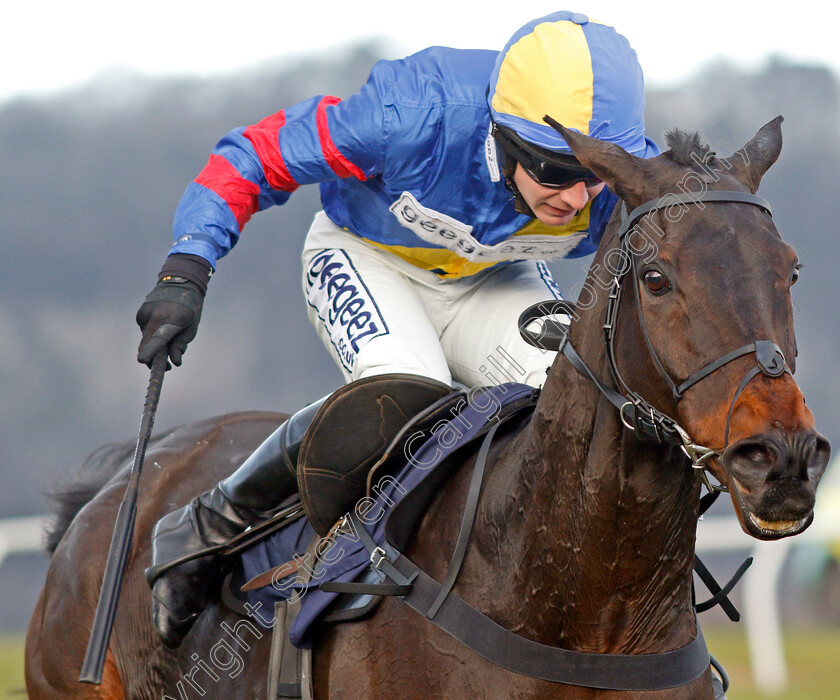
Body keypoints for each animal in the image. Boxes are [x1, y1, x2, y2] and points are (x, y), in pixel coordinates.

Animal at [24, 117, 828, 696]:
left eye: (790, 269)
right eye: (657, 278)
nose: (780, 458)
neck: (578, 612)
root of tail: (111, 491)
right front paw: (176, 296)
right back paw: (185, 546)